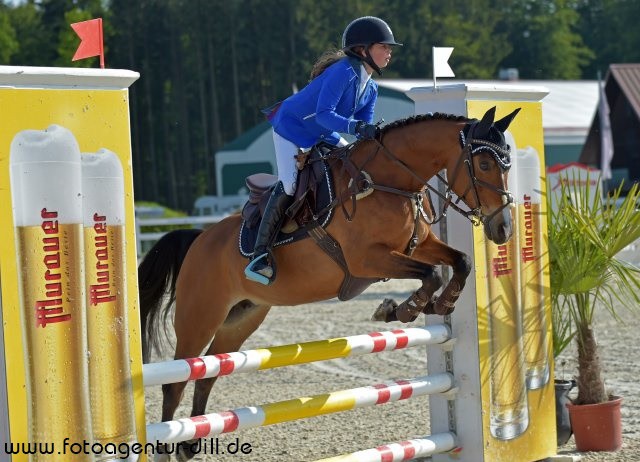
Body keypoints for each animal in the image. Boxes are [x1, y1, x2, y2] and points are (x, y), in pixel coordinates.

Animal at [139, 106, 520, 456]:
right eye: (484, 164)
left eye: (507, 165)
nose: (502, 229)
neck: (390, 181)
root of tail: (200, 239)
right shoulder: (368, 259)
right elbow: (432, 273)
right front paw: (402, 309)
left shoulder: (420, 245)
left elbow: (460, 262)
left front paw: (439, 303)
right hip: (200, 316)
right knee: (176, 381)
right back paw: (167, 447)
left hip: (241, 318)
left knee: (208, 372)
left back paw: (191, 444)